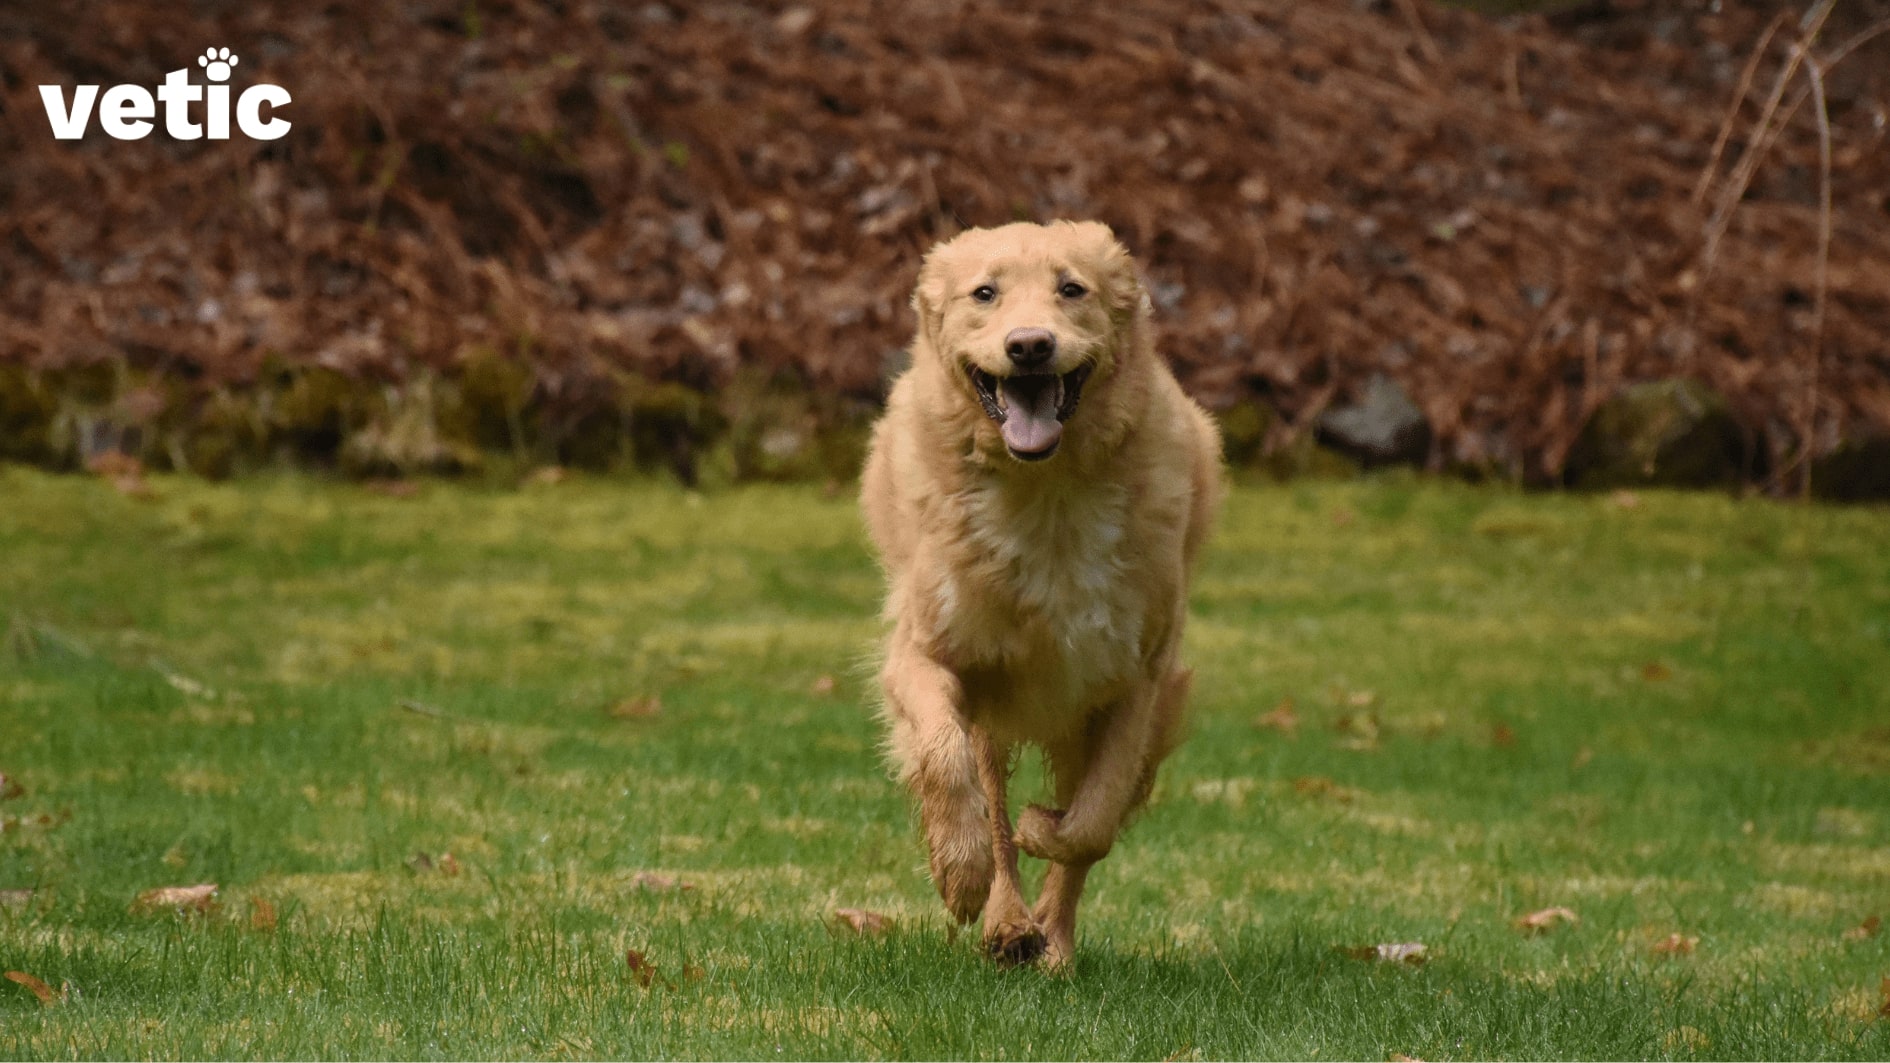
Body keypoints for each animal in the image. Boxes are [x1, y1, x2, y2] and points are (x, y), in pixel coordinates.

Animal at [861, 219, 1217, 964]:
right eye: (984, 293)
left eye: (1072, 289)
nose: (1029, 346)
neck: (1044, 492)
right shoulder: (925, 656)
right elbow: (945, 759)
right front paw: (960, 871)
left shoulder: (1134, 682)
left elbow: (1090, 824)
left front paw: (1042, 827)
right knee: (985, 789)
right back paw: (1004, 921)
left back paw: (1051, 940)